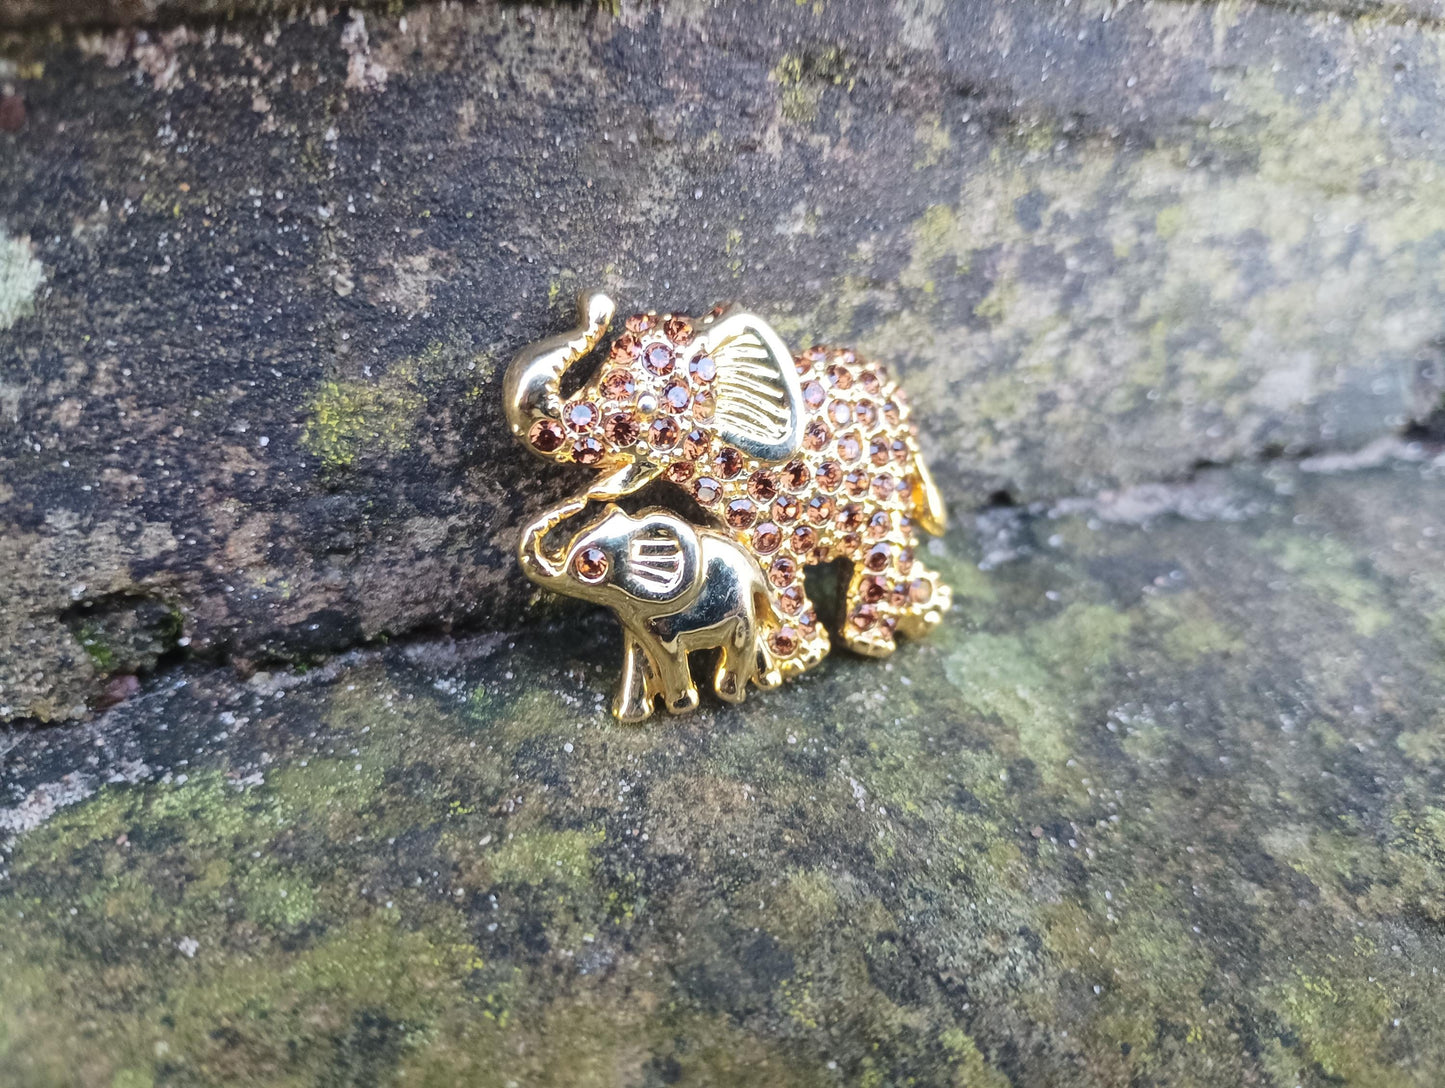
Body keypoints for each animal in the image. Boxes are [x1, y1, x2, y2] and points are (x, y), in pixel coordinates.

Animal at [504, 291, 952, 663]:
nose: (596, 305)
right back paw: (927, 608)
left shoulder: (772, 509)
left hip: (886, 485)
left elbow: (778, 570)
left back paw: (873, 639)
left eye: (644, 408)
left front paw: (794, 663)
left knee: (883, 547)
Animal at [518, 494, 812, 723]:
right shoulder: (636, 622)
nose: (584, 499)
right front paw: (629, 716)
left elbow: (668, 656)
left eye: (591, 565)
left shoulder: (664, 622)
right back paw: (768, 681)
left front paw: (681, 707)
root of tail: (753, 567)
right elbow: (637, 655)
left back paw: (729, 693)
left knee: (743, 640)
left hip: (739, 604)